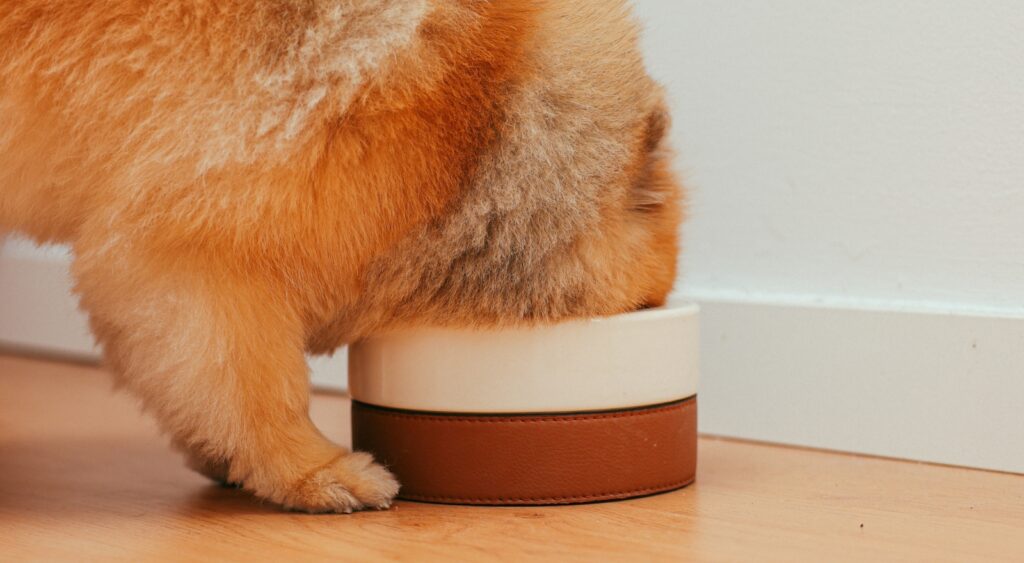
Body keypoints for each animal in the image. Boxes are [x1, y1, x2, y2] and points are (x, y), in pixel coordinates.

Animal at [2, 0, 688, 513]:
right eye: (646, 304)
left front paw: (223, 454)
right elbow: (255, 385)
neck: (477, 131)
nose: (657, 310)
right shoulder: (198, 254)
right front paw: (314, 471)